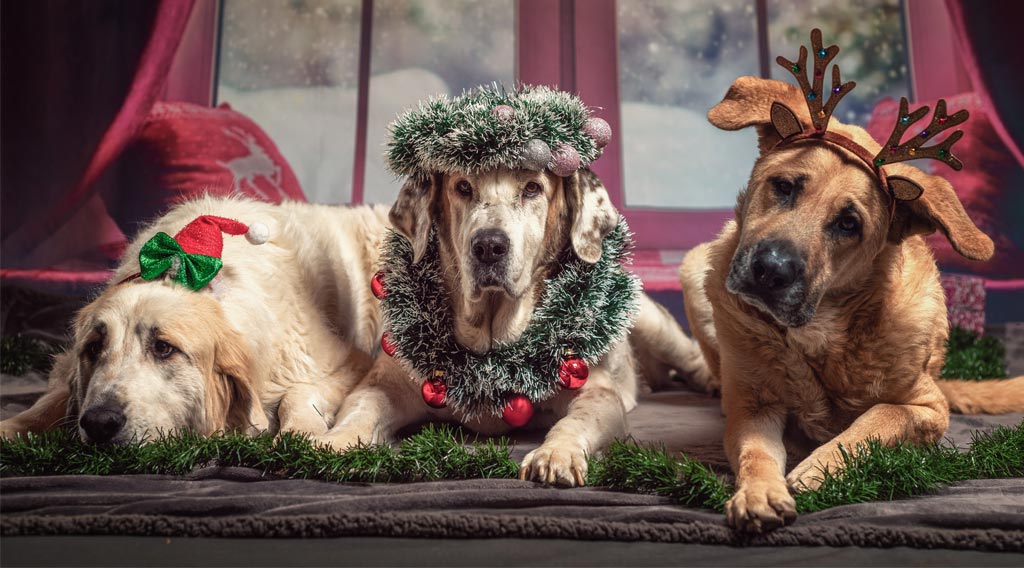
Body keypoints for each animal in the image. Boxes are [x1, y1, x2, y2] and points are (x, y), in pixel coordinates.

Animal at [0, 196, 389, 444]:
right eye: (94, 348)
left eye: (163, 348)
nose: (99, 423)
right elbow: (50, 400)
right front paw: (11, 427)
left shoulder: (347, 364)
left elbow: (298, 393)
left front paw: (302, 433)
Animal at [317, 84, 712, 485]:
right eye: (463, 187)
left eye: (533, 188)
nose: (489, 245)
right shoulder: (387, 382)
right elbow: (361, 408)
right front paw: (336, 441)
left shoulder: (597, 393)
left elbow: (575, 421)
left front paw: (555, 454)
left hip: (651, 321)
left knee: (692, 355)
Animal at [679, 77, 1024, 536]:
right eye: (784, 186)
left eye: (849, 224)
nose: (770, 271)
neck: (822, 333)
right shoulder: (753, 407)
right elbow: (757, 453)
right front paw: (759, 492)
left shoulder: (929, 408)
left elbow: (879, 419)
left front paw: (820, 467)